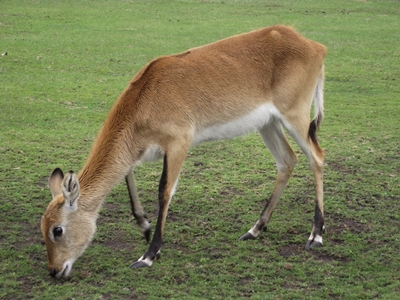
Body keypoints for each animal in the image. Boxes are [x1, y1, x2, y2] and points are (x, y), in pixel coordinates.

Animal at [41, 25, 328, 278]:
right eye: (42, 227)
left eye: (57, 230)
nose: (54, 271)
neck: (144, 98)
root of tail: (316, 46)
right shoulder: (139, 151)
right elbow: (127, 175)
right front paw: (144, 227)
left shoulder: (179, 143)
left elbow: (164, 191)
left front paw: (149, 255)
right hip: (268, 124)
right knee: (287, 160)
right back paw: (254, 230)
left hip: (295, 116)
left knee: (317, 157)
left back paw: (315, 235)